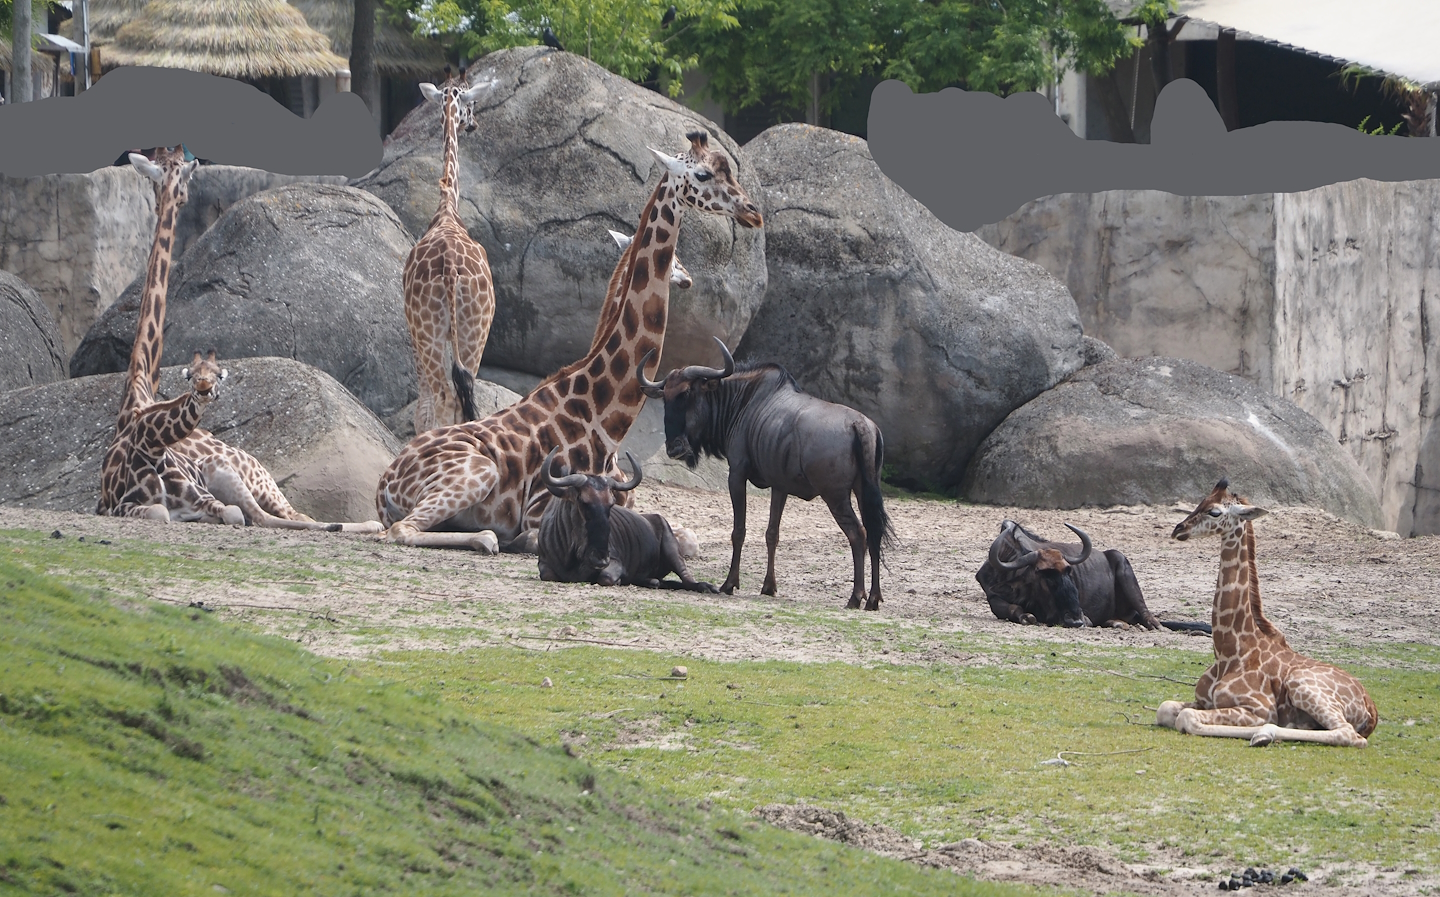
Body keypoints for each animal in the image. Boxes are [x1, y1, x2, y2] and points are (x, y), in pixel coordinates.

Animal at [375, 130, 763, 552]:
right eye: (703, 174)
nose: (753, 212)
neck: (605, 418)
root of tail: (384, 484)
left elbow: (685, 537)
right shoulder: (541, 508)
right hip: (478, 470)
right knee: (402, 530)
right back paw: (487, 538)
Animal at [405, 68, 498, 434]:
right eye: (471, 104)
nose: (473, 124)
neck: (446, 208)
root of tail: (449, 271)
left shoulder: (414, 330)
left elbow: (423, 407)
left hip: (434, 332)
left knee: (445, 395)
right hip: (474, 331)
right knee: (460, 396)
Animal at [1157, 479, 1378, 747]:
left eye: (1215, 512)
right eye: (1200, 502)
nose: (1178, 529)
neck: (1229, 651)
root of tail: (1371, 708)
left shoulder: (1259, 709)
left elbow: (1186, 717)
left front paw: (1261, 730)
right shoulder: (1203, 701)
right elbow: (1165, 708)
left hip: (1301, 684)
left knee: (1349, 734)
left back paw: (1264, 734)